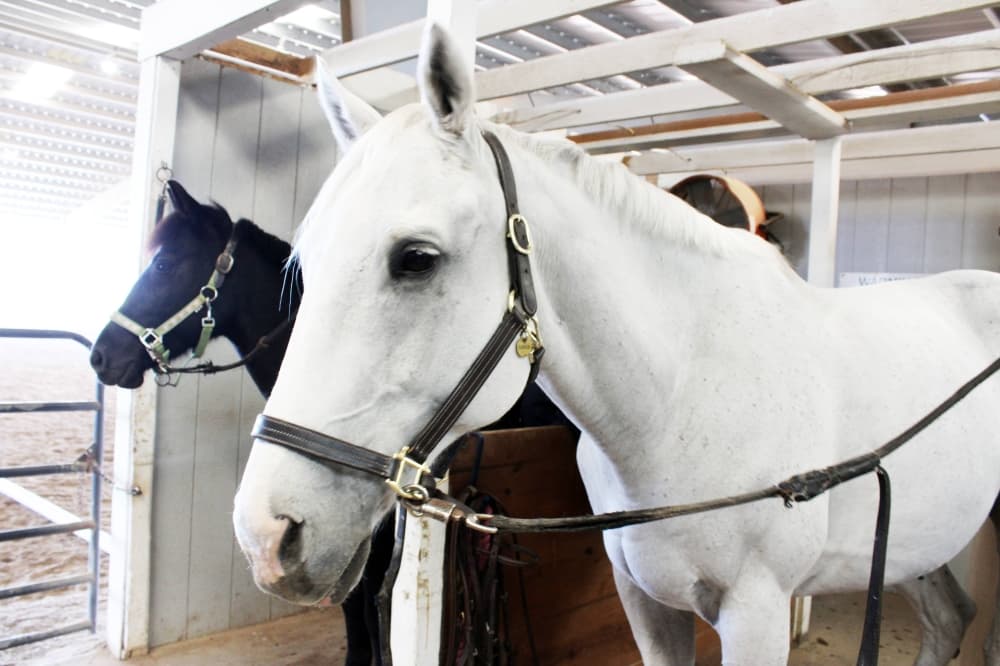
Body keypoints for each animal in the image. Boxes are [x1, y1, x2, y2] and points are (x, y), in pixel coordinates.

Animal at [231, 24, 1000, 665]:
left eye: (416, 258)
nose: (265, 537)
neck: (682, 400)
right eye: (307, 264)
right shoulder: (646, 603)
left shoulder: (757, 614)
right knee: (949, 621)